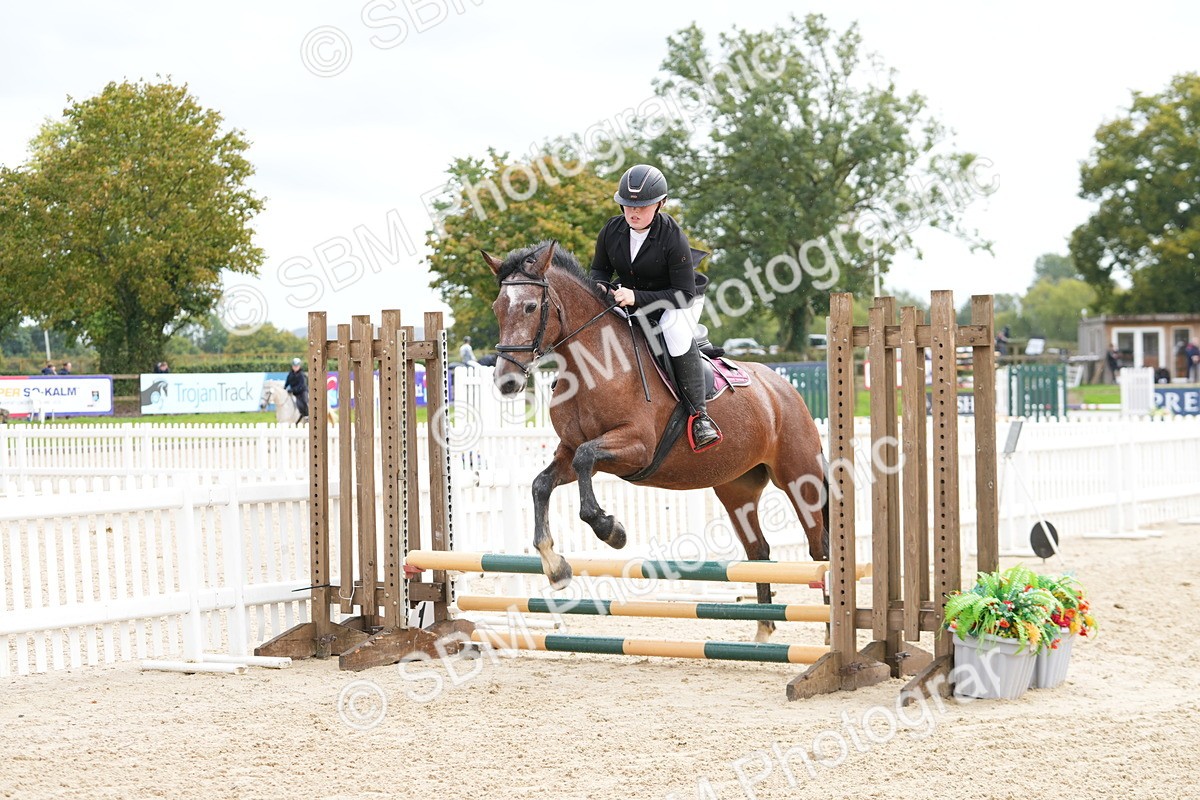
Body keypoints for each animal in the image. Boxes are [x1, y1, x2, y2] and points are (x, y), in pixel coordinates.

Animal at [482, 241, 829, 641]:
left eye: (530, 306)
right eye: (497, 308)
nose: (506, 382)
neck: (595, 367)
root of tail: (783, 389)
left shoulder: (637, 448)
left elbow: (586, 460)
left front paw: (611, 531)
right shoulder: (568, 452)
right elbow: (542, 483)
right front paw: (557, 568)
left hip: (798, 477)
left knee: (820, 549)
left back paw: (828, 633)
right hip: (736, 486)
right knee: (759, 551)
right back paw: (762, 634)